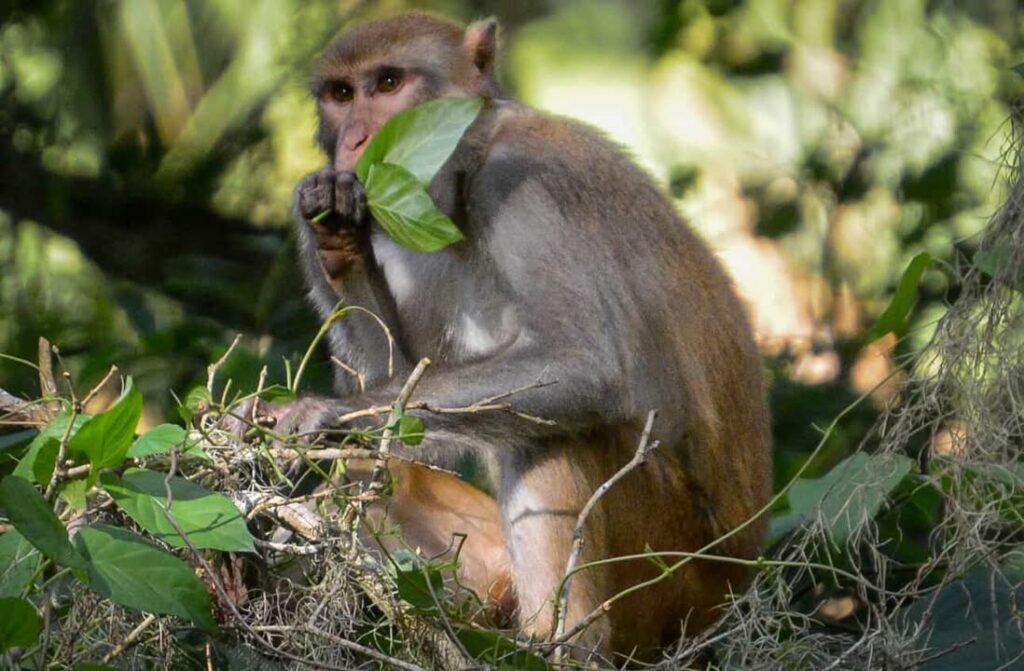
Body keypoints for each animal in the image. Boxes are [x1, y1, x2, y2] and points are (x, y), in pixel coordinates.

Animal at [259, 11, 771, 661]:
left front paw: (319, 414)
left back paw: (556, 647)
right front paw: (333, 231)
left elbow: (582, 365)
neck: (471, 157)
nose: (353, 142)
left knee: (562, 431)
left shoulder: (525, 187)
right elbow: (402, 412)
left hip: (671, 580)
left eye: (388, 83)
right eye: (342, 94)